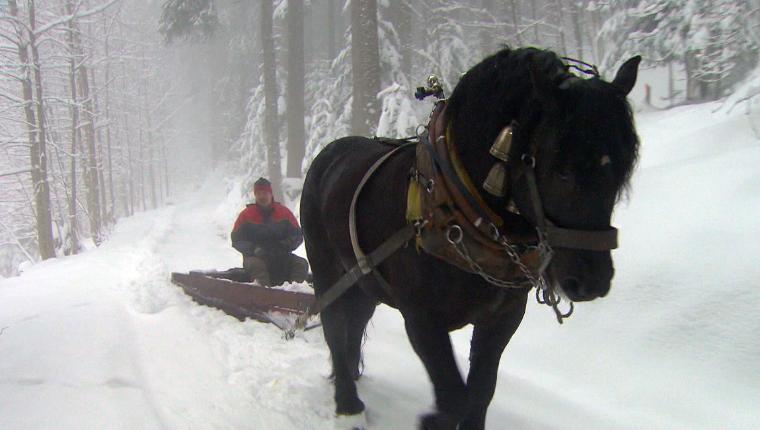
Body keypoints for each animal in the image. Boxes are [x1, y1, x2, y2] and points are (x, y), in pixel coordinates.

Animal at [300, 47, 640, 430]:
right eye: (561, 170)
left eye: (620, 172)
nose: (591, 281)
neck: (458, 206)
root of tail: (329, 153)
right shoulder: (422, 319)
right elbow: (453, 397)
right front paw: (431, 420)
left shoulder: (502, 318)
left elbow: (480, 393)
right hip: (326, 267)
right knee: (334, 324)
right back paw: (347, 403)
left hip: (362, 278)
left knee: (355, 320)